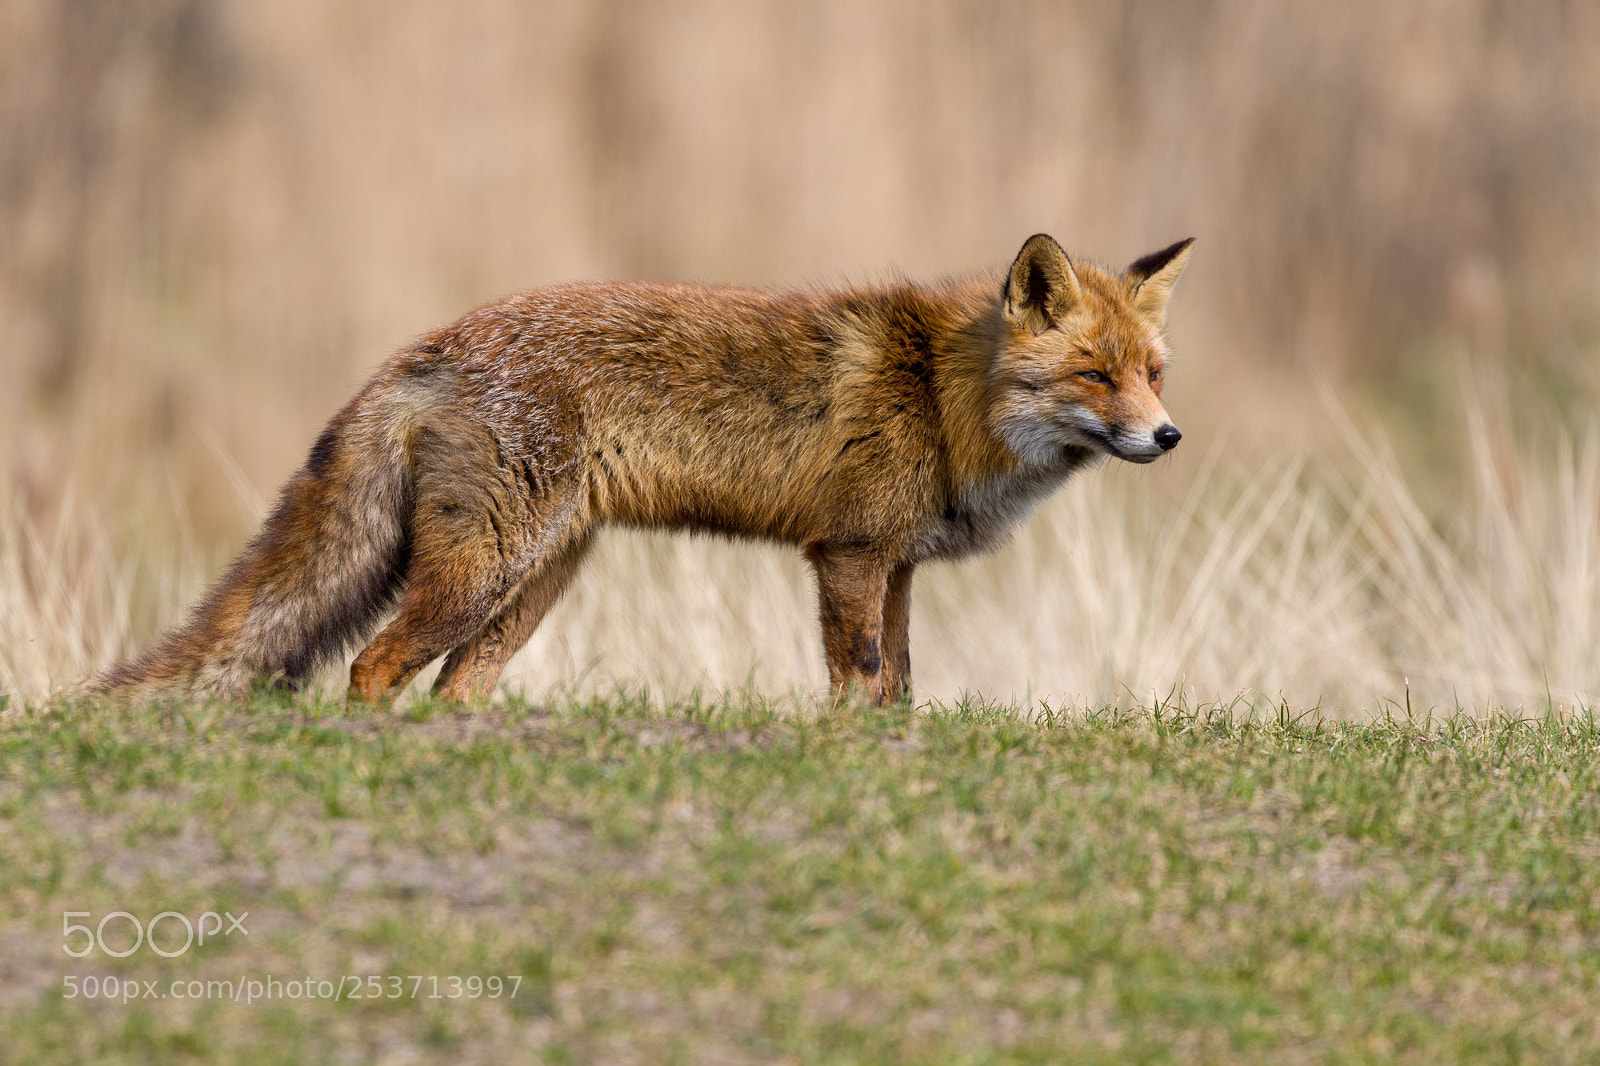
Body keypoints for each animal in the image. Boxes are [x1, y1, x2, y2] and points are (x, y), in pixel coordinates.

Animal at [98, 233, 1193, 705]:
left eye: (1152, 374)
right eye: (1095, 375)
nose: (1168, 437)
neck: (940, 391)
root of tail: (431, 342)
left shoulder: (896, 565)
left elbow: (900, 688)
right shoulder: (846, 554)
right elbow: (859, 682)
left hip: (537, 580)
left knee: (454, 686)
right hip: (485, 570)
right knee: (373, 666)